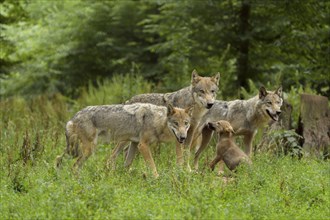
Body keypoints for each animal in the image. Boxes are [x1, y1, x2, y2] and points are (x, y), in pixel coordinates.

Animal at [55, 102, 192, 178]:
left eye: (186, 123)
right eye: (175, 123)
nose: (183, 137)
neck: (157, 120)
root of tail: (73, 117)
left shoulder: (135, 144)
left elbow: (127, 164)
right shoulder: (143, 145)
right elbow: (152, 166)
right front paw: (157, 179)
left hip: (79, 150)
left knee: (60, 159)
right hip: (89, 150)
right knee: (74, 166)